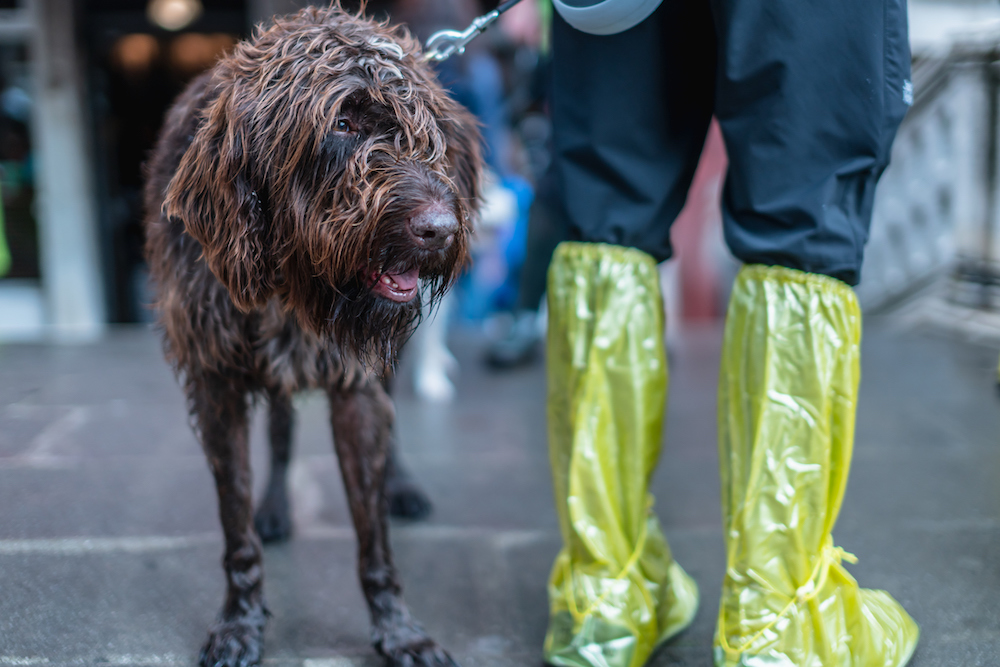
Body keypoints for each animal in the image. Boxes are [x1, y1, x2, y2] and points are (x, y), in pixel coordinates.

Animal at [143, 6, 482, 667]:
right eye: (343, 123)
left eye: (425, 132)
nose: (440, 229)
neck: (289, 285)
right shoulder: (215, 381)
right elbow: (236, 524)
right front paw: (240, 622)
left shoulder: (356, 388)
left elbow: (373, 537)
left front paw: (399, 629)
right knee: (279, 435)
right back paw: (276, 507)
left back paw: (401, 486)